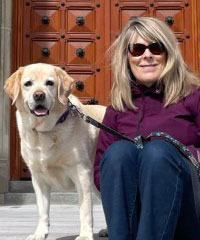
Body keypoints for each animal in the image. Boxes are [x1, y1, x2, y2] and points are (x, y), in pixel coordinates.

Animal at [3, 63, 106, 240]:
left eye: (49, 83)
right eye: (28, 83)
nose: (39, 95)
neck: (44, 131)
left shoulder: (82, 174)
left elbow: (85, 209)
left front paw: (85, 235)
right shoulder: (38, 178)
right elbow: (42, 210)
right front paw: (40, 233)